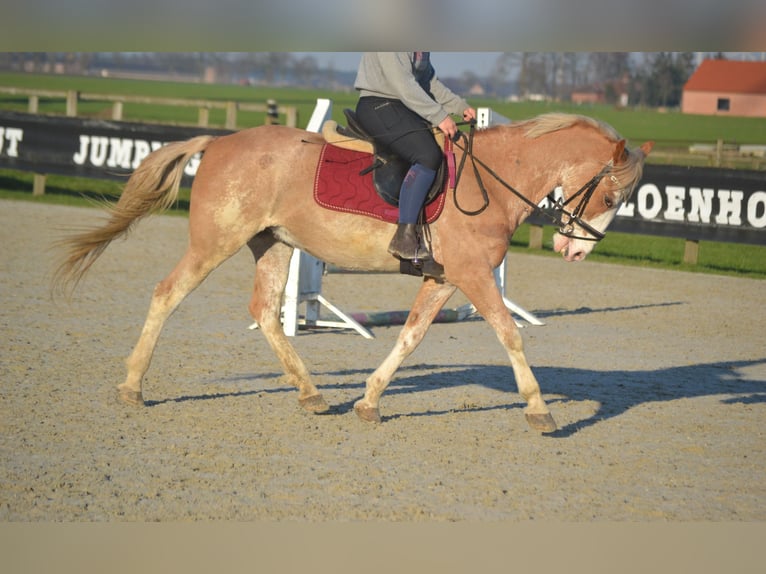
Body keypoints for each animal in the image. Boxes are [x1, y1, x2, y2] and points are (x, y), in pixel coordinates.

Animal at [52, 115, 656, 434]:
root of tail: (220, 140)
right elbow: (510, 334)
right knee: (167, 294)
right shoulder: (474, 276)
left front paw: (369, 400)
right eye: (610, 196)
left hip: (273, 245)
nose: (575, 252)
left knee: (266, 313)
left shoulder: (444, 279)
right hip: (215, 242)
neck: (492, 179)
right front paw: (539, 408)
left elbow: (410, 338)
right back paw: (132, 386)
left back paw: (311, 393)